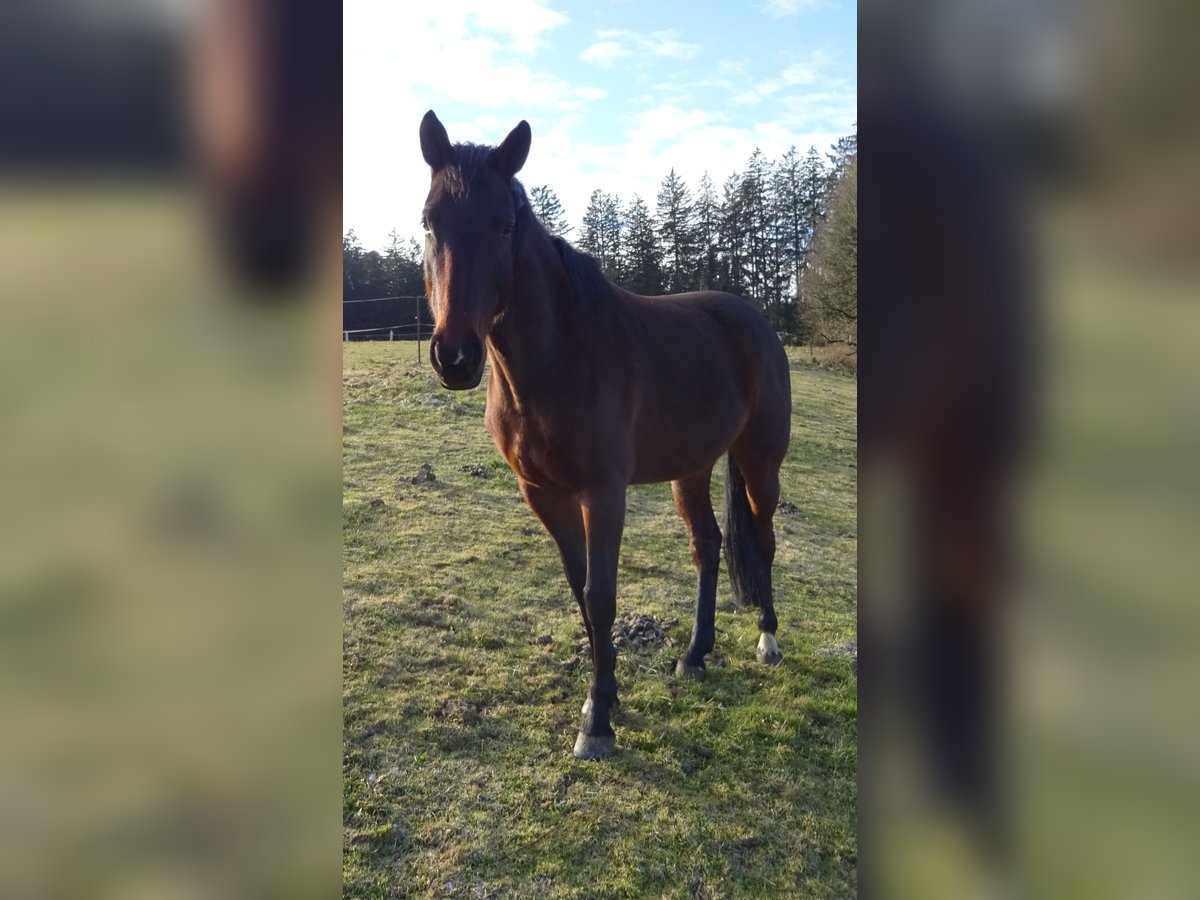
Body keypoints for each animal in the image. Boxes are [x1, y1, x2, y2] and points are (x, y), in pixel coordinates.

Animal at [417, 112, 792, 763]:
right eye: (428, 221)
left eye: (504, 224)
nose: (455, 357)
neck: (561, 358)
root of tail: (756, 322)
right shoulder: (542, 493)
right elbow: (579, 591)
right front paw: (608, 696)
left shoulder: (604, 494)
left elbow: (600, 595)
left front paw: (596, 722)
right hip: (691, 469)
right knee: (707, 546)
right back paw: (695, 654)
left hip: (760, 462)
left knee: (763, 541)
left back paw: (767, 642)